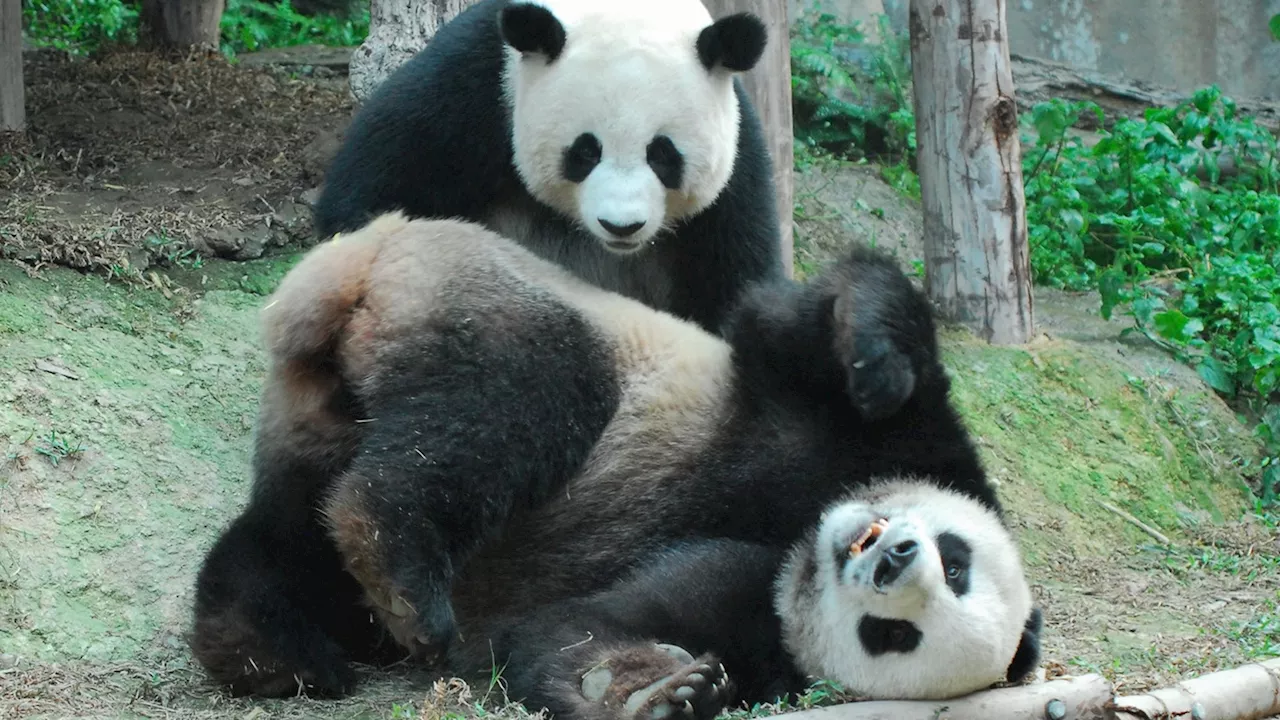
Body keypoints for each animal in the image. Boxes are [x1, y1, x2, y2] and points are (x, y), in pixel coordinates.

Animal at [192, 211, 1049, 712]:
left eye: (895, 637)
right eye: (957, 559)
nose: (891, 557)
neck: (801, 531)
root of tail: (362, 259)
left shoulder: (763, 624)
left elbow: (572, 632)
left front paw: (663, 692)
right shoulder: (857, 430)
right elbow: (802, 318)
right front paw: (879, 361)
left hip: (324, 407)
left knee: (293, 530)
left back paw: (270, 646)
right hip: (477, 289)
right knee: (529, 394)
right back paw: (396, 569)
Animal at [314, 0, 783, 335]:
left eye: (663, 155)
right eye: (585, 152)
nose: (621, 225)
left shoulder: (737, 165)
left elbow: (736, 280)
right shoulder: (475, 89)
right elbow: (370, 194)